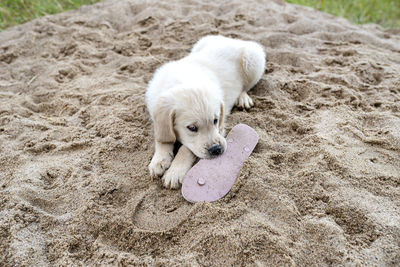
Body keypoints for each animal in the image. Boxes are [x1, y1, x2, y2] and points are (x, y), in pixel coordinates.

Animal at [145, 35, 264, 189]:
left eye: (215, 120)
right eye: (192, 128)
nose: (217, 149)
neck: (183, 80)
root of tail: (231, 39)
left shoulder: (221, 127)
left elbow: (186, 149)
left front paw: (174, 172)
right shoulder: (156, 112)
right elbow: (162, 137)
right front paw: (159, 161)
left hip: (253, 60)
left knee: (247, 86)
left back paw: (243, 98)